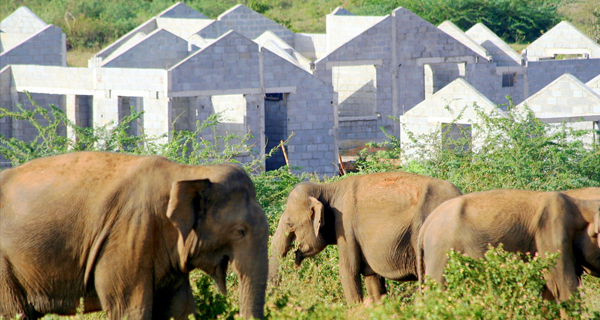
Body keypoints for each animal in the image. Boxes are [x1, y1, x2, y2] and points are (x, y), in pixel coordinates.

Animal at [418, 189, 600, 302]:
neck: (582, 204)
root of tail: (426, 225)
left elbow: (549, 292)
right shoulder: (553, 232)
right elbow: (562, 286)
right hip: (441, 249)